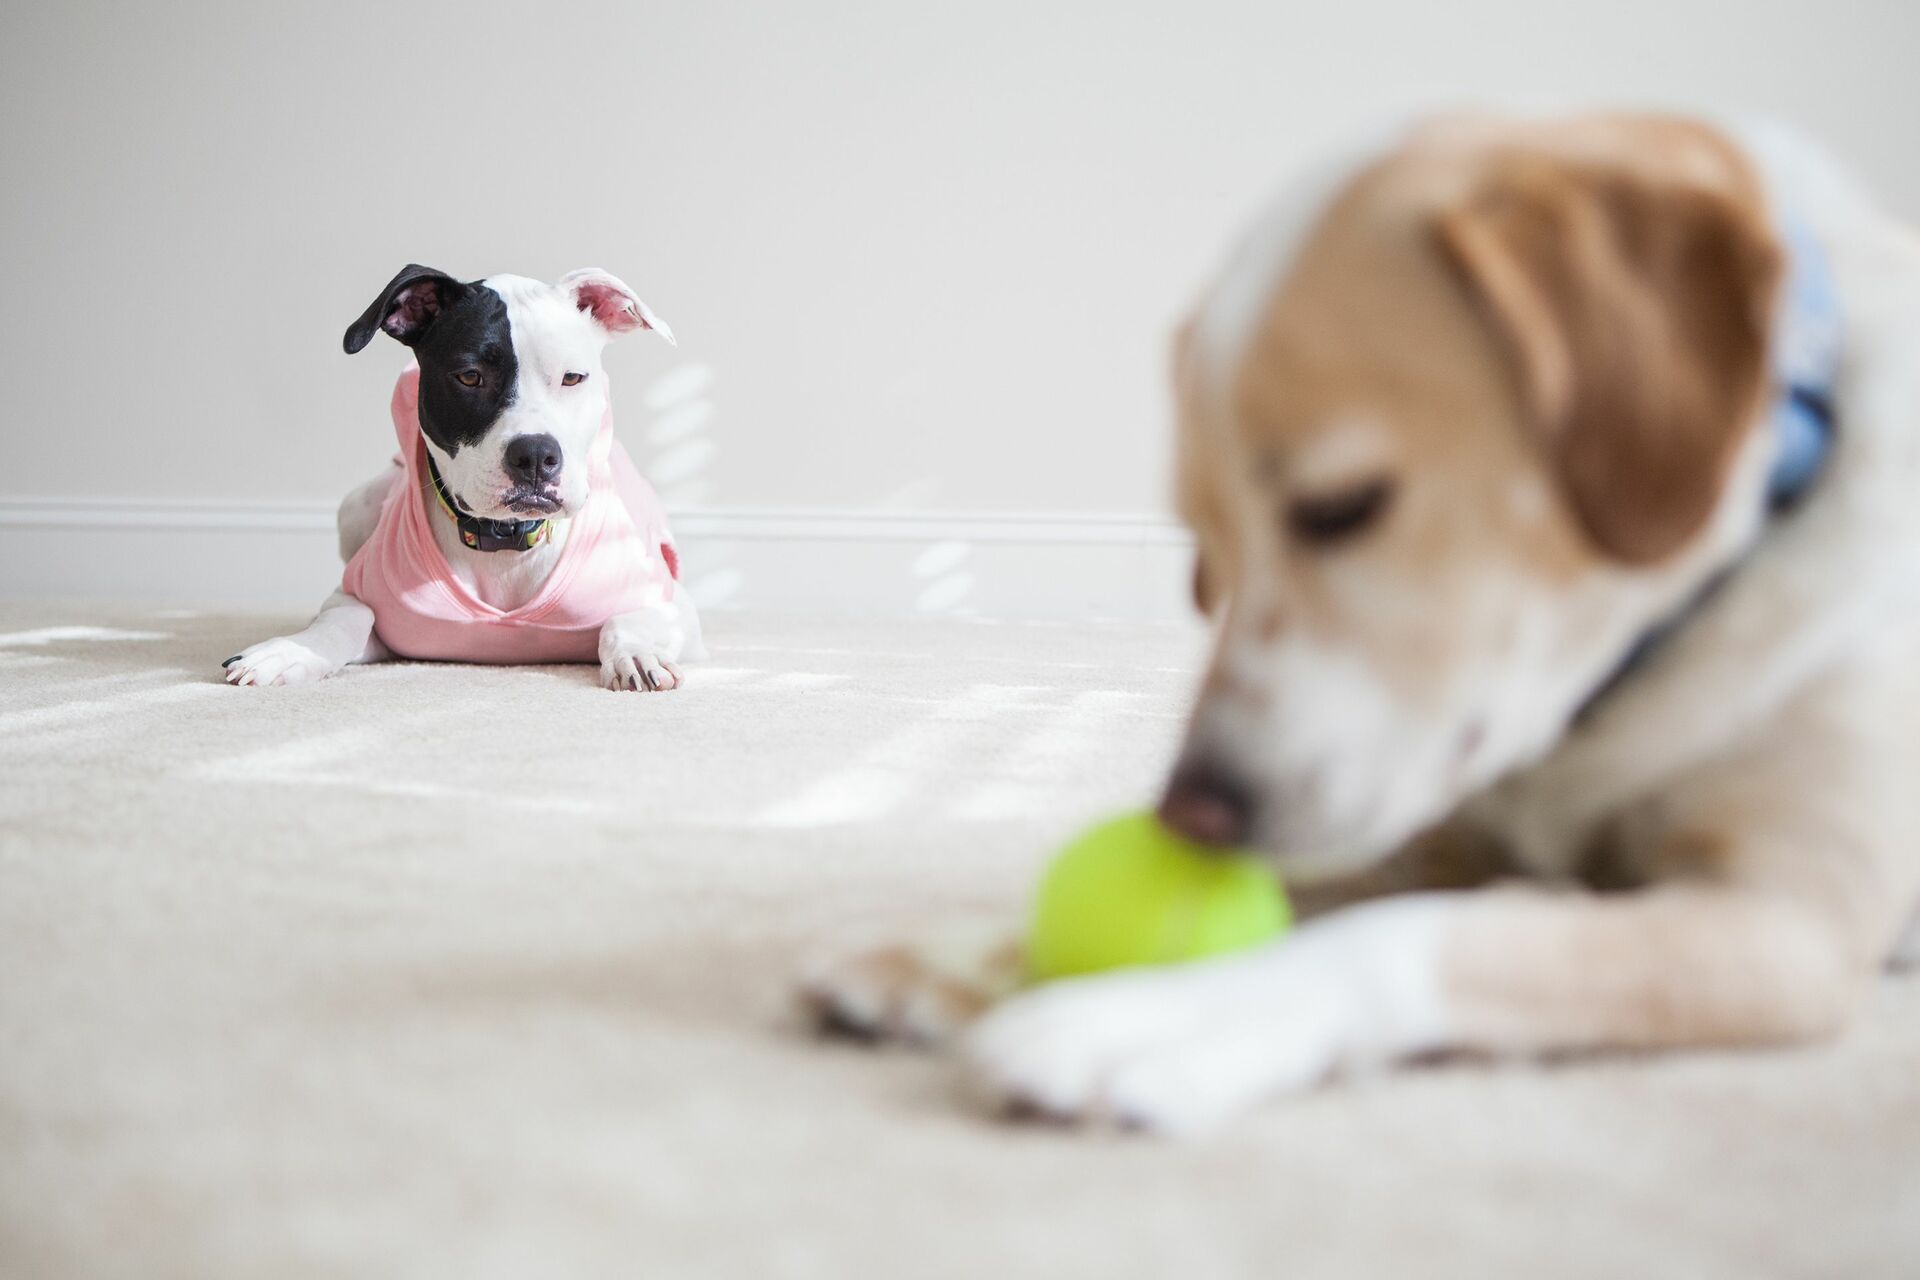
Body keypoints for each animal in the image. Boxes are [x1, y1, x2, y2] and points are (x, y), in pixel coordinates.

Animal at [224, 264, 702, 694]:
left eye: (573, 378)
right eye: (470, 377)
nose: (535, 456)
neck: (505, 542)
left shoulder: (676, 605)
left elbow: (626, 619)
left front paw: (637, 656)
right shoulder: (364, 604)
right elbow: (348, 616)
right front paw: (289, 651)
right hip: (357, 506)